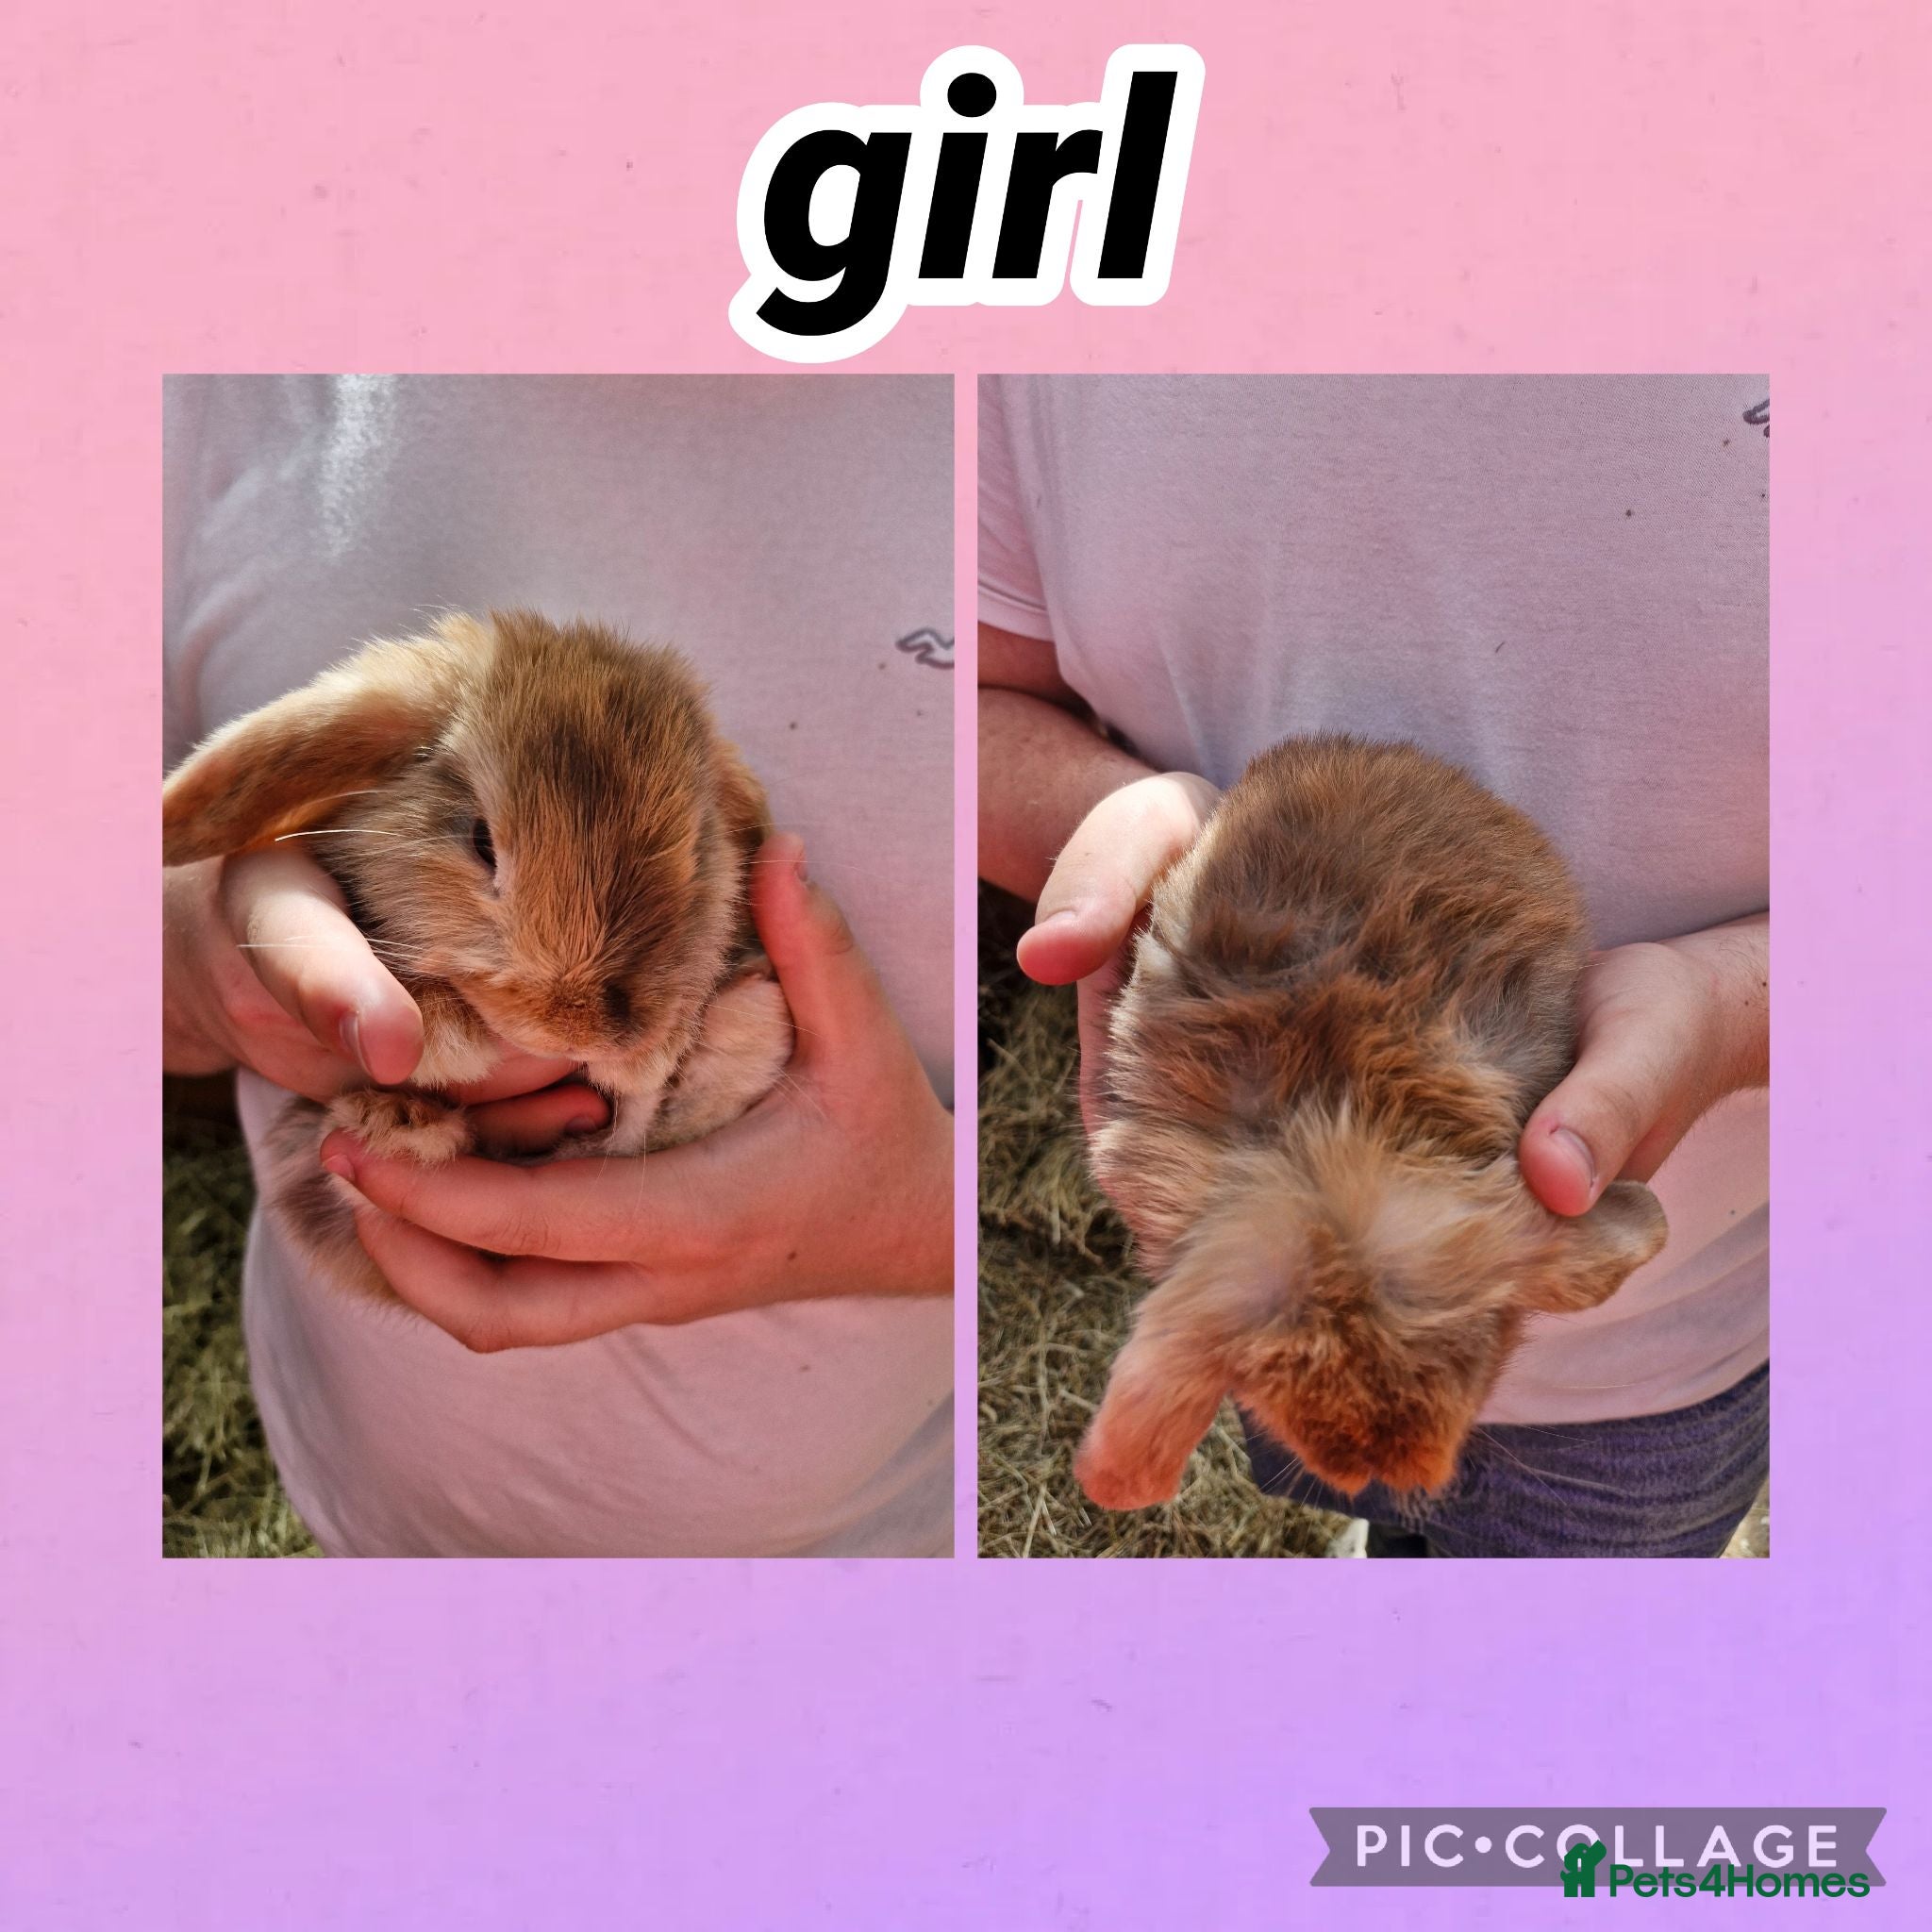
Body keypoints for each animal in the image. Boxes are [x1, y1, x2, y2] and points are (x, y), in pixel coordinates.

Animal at [163, 609, 794, 1306]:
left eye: (697, 858)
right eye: (481, 842)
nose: (577, 1031)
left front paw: (643, 1058)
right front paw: (448, 1038)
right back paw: (400, 1123)